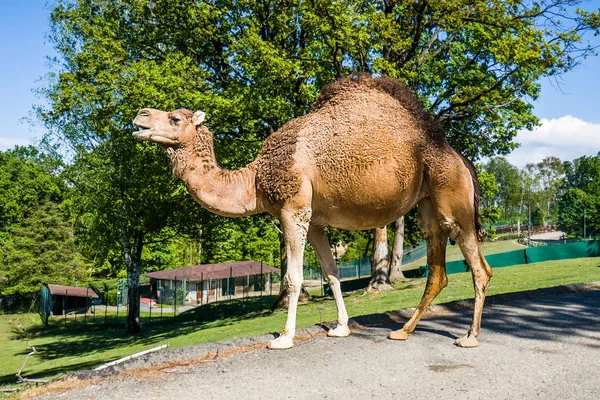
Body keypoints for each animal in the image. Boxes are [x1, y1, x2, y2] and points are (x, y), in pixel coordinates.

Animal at [135, 73, 492, 348]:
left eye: (175, 118)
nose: (140, 114)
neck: (256, 179)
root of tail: (459, 156)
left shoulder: (293, 211)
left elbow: (293, 278)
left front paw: (284, 337)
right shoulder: (317, 221)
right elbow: (331, 274)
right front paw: (341, 327)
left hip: (450, 192)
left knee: (478, 267)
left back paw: (470, 337)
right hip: (428, 202)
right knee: (438, 270)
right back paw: (403, 331)